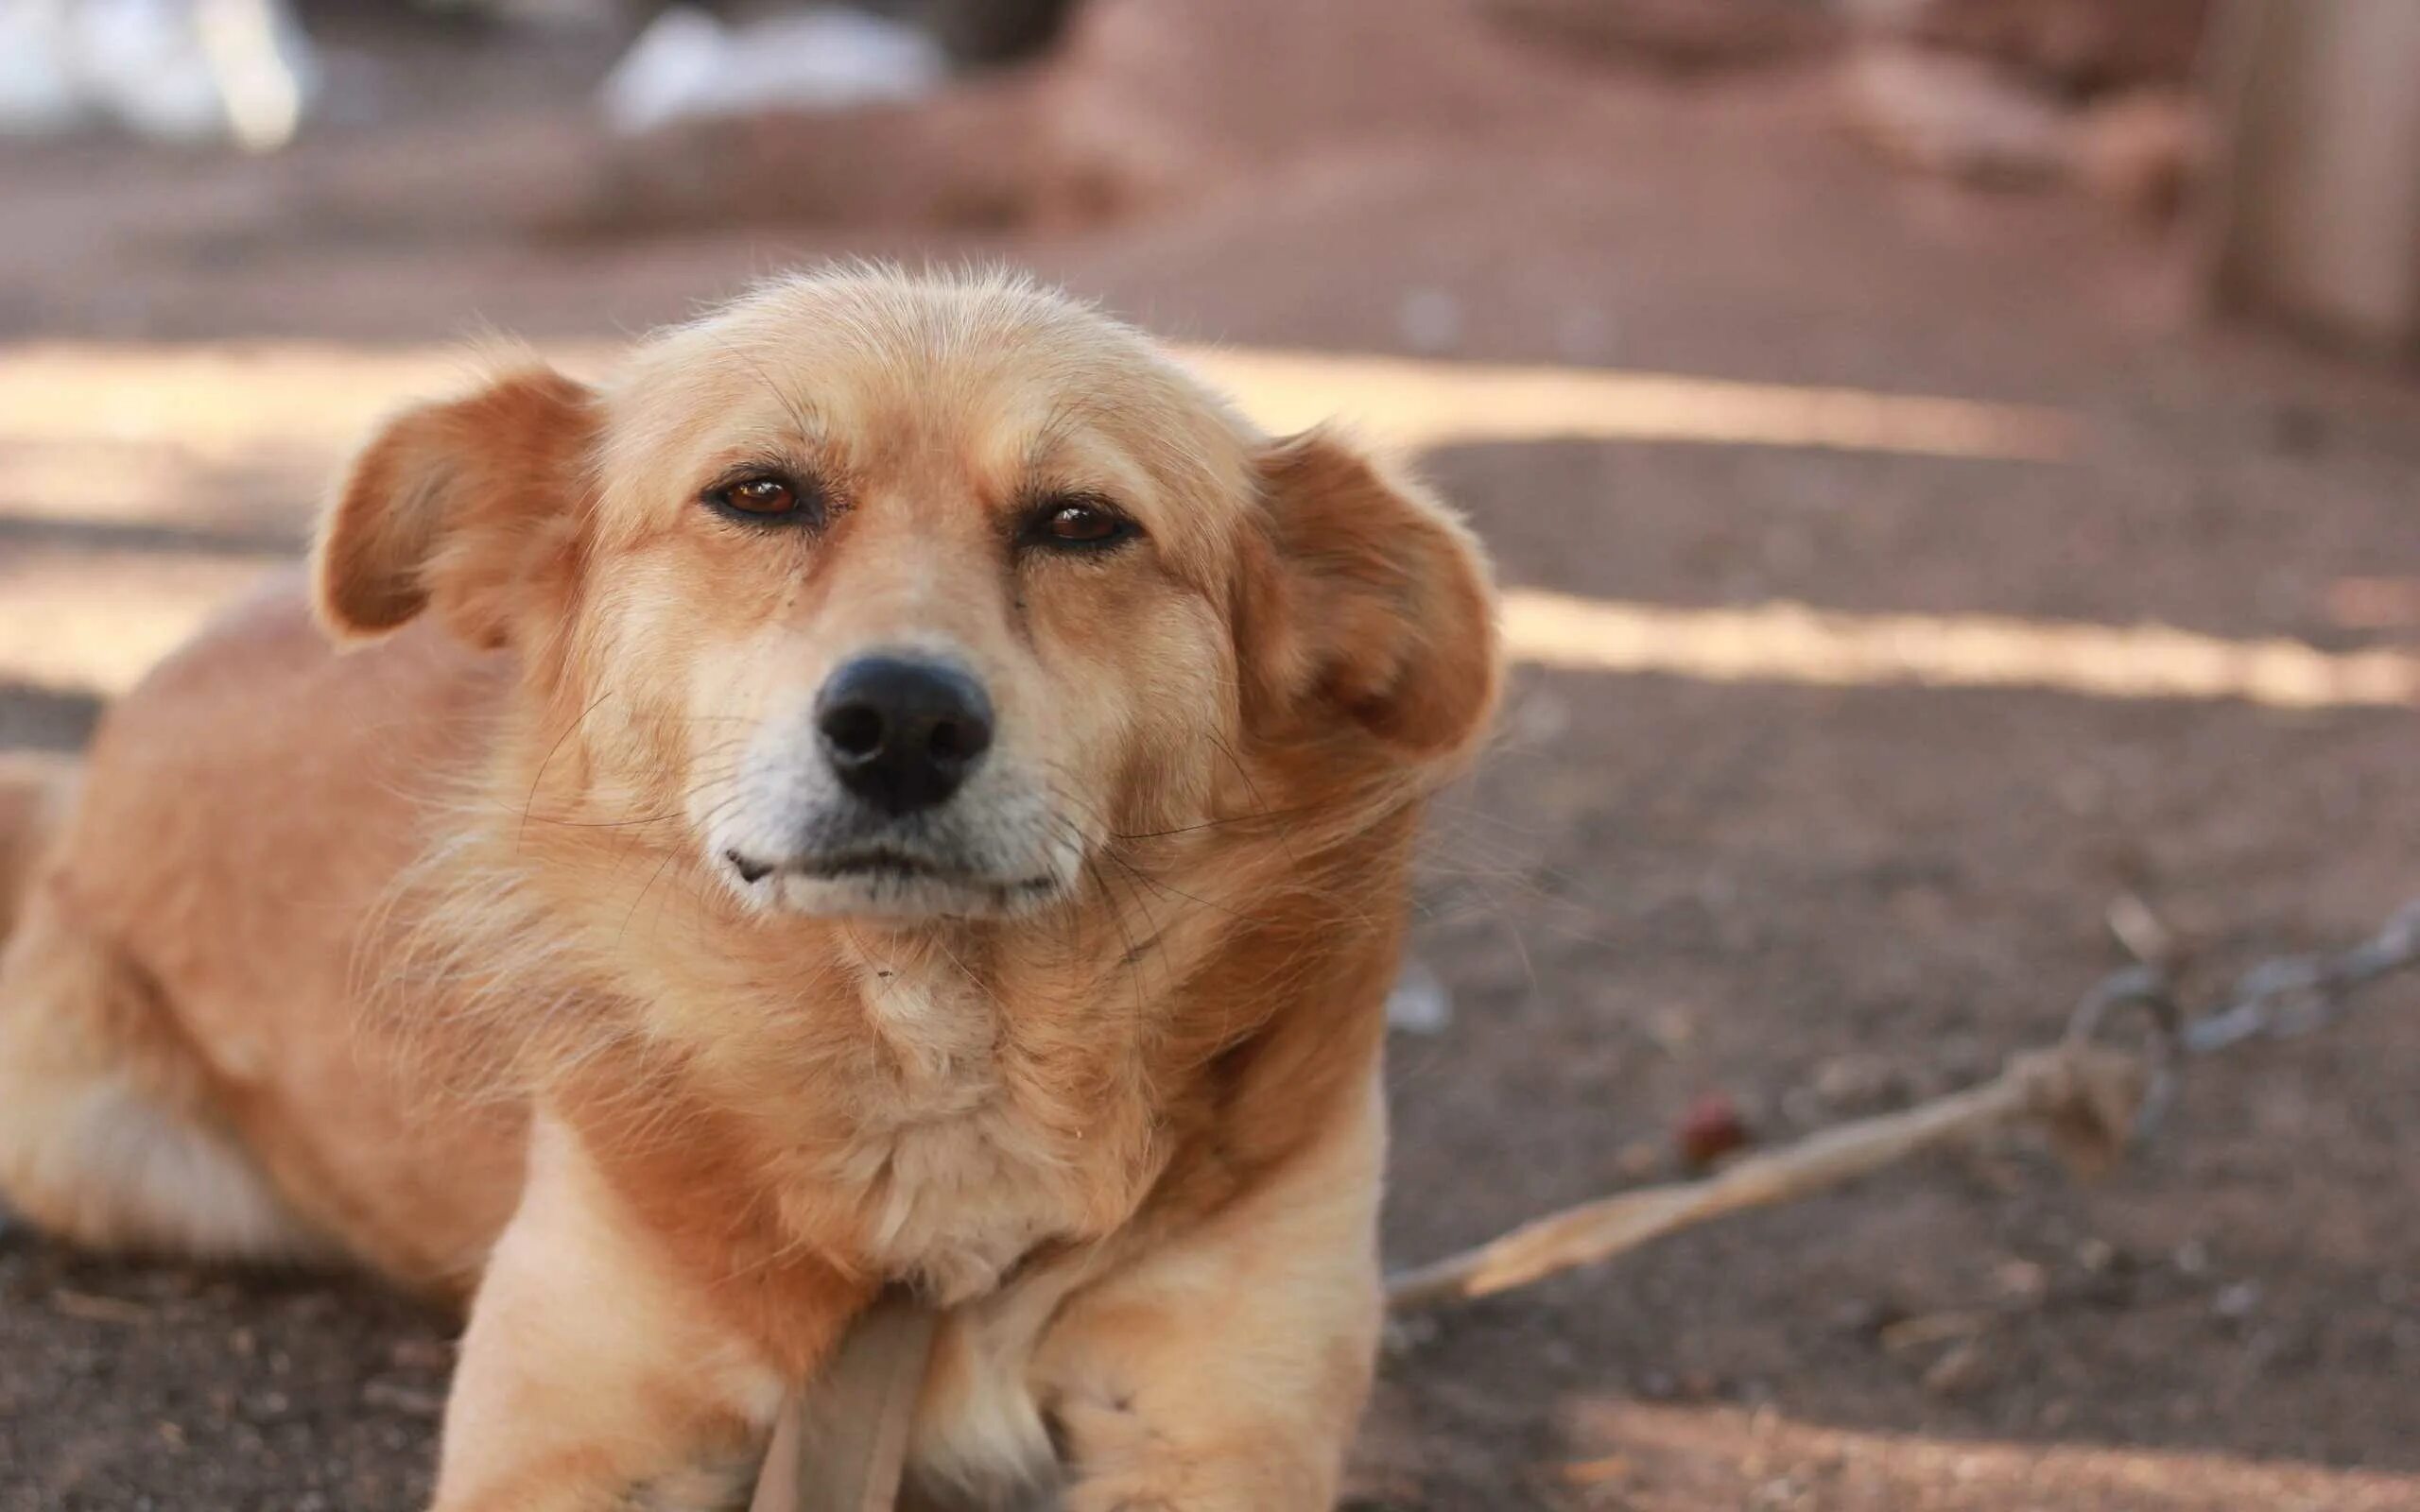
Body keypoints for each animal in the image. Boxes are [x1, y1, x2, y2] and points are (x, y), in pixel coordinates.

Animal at [0, 270, 1490, 1509]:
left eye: (1082, 523)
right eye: (761, 494)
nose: (904, 722)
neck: (935, 1069)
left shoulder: (1219, 1433)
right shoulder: (566, 1440)